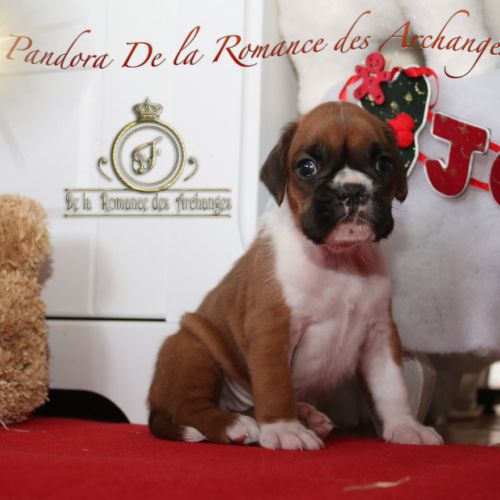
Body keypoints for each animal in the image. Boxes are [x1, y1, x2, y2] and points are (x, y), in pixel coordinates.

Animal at [148, 101, 443, 450]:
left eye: (383, 163)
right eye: (306, 167)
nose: (352, 190)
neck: (339, 260)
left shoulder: (379, 335)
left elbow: (393, 387)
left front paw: (404, 426)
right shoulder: (272, 329)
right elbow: (276, 386)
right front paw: (285, 428)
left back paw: (305, 415)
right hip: (193, 349)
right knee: (193, 409)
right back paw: (237, 424)